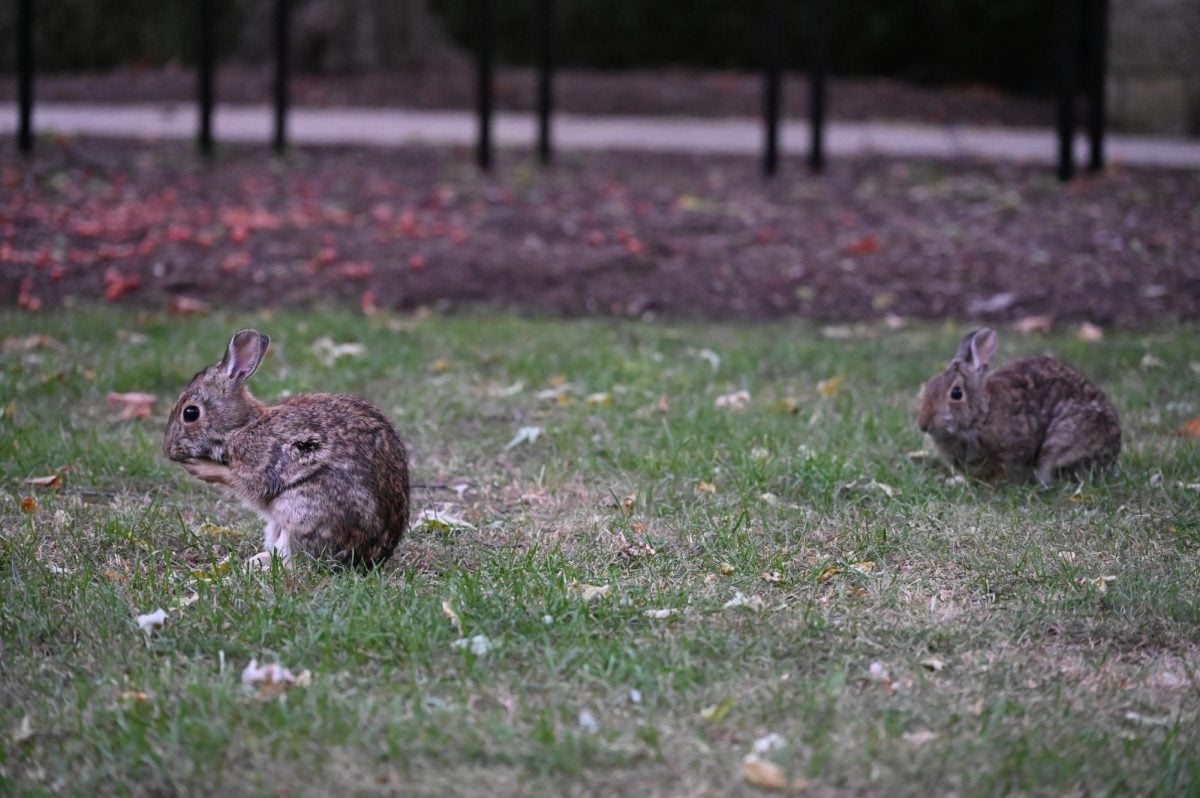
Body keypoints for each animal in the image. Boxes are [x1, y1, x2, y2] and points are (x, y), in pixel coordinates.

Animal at [162, 328, 410, 566]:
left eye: (190, 413)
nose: (168, 450)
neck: (242, 426)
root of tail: (371, 558)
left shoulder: (260, 463)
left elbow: (241, 481)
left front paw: (199, 468)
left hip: (298, 511)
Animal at [916, 326, 1123, 484]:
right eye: (930, 384)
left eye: (956, 393)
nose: (923, 424)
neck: (983, 416)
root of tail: (1113, 451)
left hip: (1062, 440)